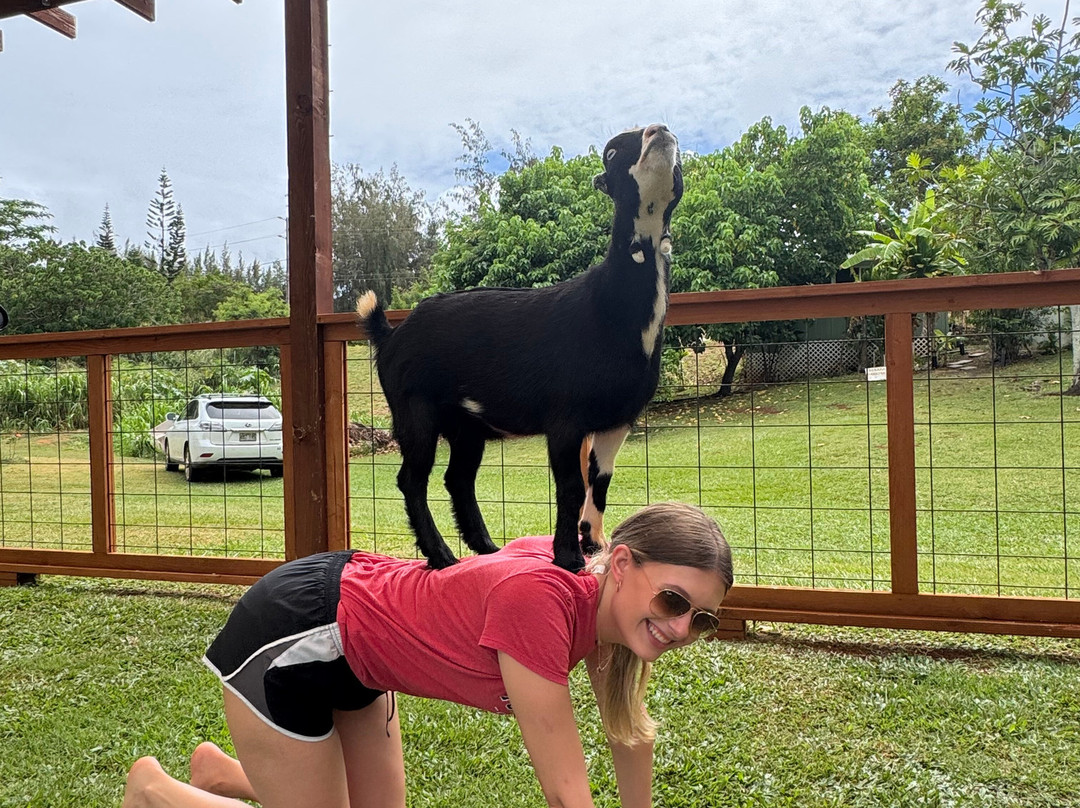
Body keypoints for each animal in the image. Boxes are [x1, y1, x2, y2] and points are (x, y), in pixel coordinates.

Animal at [357, 124, 683, 571]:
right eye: (613, 151)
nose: (659, 131)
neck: (607, 305)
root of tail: (390, 334)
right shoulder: (565, 416)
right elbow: (570, 485)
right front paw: (568, 558)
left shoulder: (617, 420)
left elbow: (599, 482)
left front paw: (593, 543)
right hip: (414, 406)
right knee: (412, 479)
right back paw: (442, 556)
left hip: (465, 425)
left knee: (457, 478)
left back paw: (488, 548)